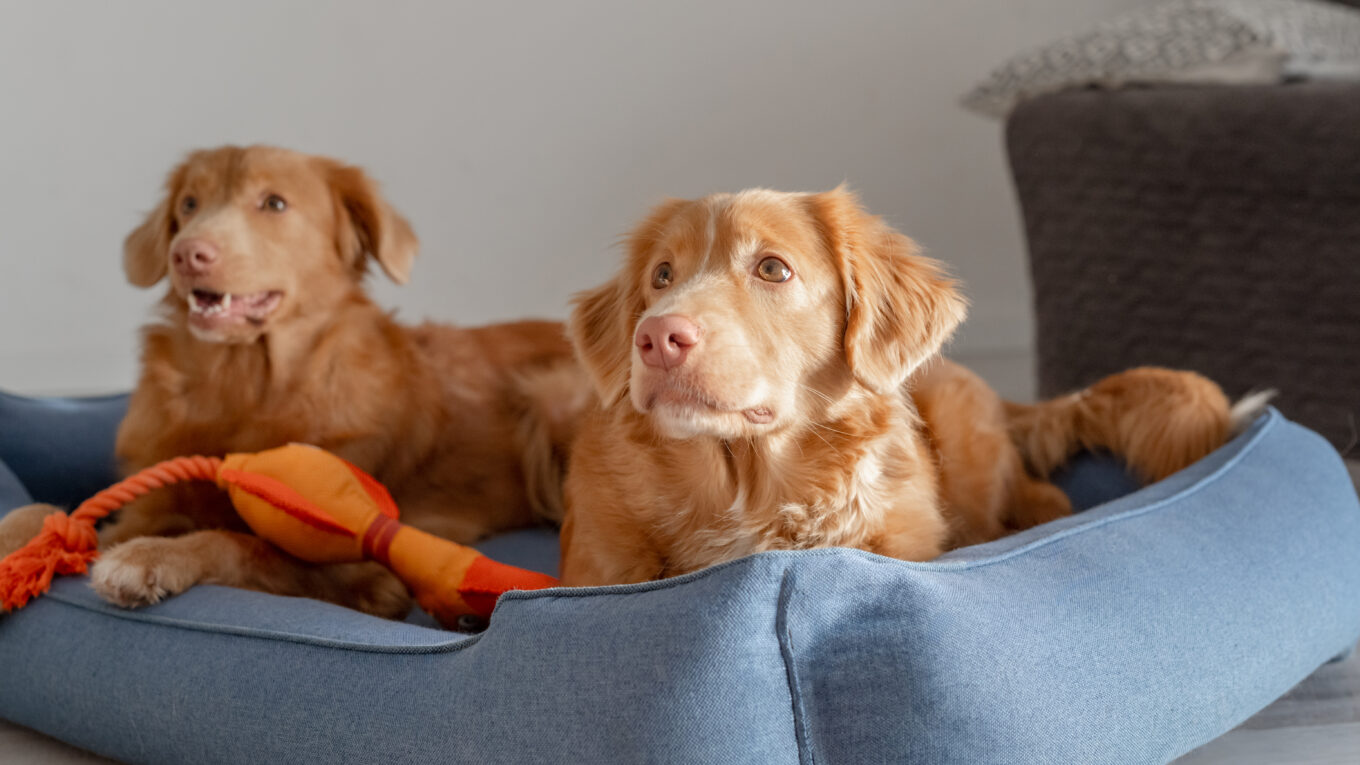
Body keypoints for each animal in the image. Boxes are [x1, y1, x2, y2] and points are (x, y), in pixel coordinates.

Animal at [0, 145, 587, 615]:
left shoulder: (369, 573)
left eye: (274, 204)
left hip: (550, 399)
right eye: (188, 204)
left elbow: (232, 540)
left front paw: (152, 555)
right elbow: (47, 511)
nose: (186, 253)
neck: (243, 385)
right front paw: (16, 536)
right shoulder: (149, 502)